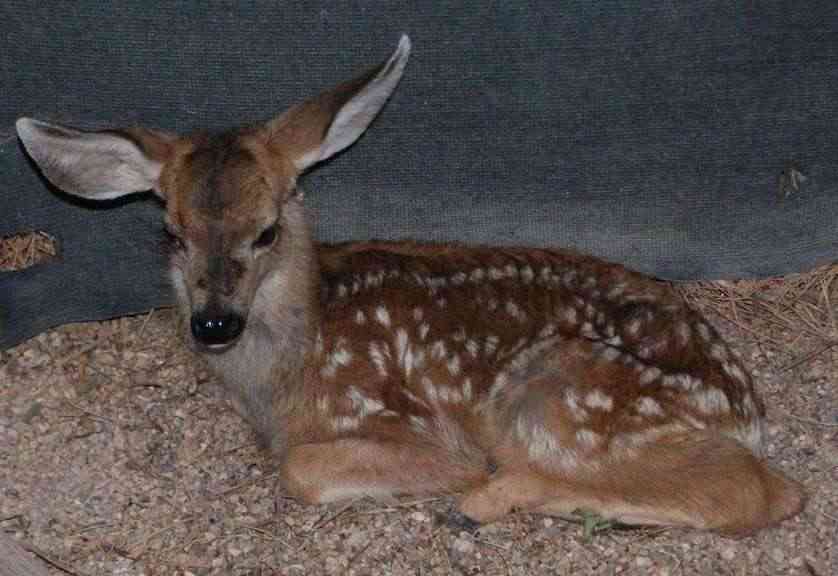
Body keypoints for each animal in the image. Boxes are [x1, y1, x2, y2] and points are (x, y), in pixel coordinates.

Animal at [16, 35, 805, 536]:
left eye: (266, 230)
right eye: (172, 233)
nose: (213, 323)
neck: (291, 366)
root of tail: (745, 406)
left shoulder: (414, 427)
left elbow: (300, 469)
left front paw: (463, 487)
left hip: (557, 398)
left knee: (763, 491)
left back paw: (492, 499)